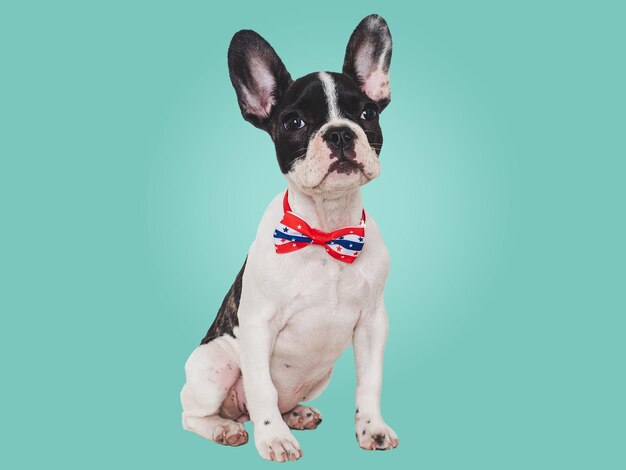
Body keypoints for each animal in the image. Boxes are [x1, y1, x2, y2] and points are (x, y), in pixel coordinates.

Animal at [179, 14, 394, 462]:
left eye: (367, 113)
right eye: (294, 122)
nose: (340, 133)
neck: (325, 229)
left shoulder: (372, 324)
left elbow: (369, 382)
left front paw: (373, 428)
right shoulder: (258, 324)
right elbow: (261, 387)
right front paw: (274, 439)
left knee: (282, 401)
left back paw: (295, 414)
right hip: (213, 364)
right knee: (196, 415)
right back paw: (226, 429)